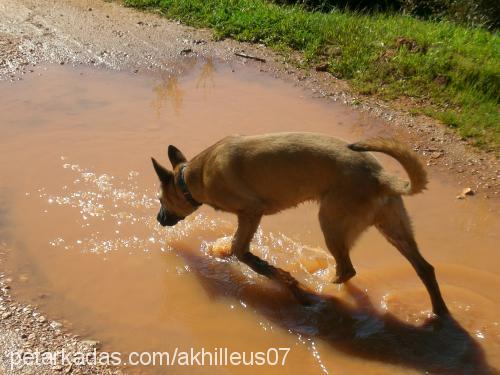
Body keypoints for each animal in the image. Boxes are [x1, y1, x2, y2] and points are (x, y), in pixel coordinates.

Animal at [152, 133, 450, 318]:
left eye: (160, 199)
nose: (158, 219)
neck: (194, 176)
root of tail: (382, 178)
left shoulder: (251, 212)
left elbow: (243, 251)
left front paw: (287, 282)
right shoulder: (248, 216)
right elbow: (238, 249)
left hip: (332, 223)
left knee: (347, 269)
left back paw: (320, 290)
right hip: (394, 229)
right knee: (425, 268)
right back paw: (439, 313)